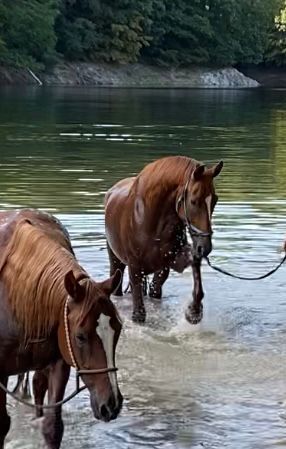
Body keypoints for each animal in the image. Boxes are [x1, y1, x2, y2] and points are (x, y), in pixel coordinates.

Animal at [105, 155, 223, 322]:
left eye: (215, 200)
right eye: (193, 201)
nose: (205, 247)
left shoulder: (174, 259)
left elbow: (195, 263)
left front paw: (194, 311)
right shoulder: (134, 267)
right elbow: (139, 313)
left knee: (155, 290)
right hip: (116, 262)